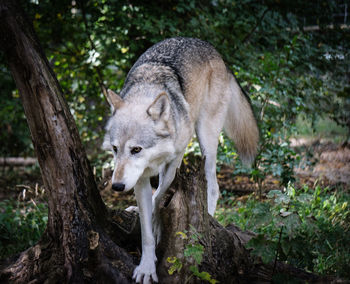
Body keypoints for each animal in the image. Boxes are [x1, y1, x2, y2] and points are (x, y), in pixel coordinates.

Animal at [102, 37, 258, 282]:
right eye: (115, 149)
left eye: (136, 149)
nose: (117, 186)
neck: (147, 90)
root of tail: (215, 52)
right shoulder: (140, 179)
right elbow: (146, 230)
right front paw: (146, 266)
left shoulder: (174, 160)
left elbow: (159, 199)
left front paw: (157, 225)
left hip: (206, 139)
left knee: (213, 186)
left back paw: (208, 218)